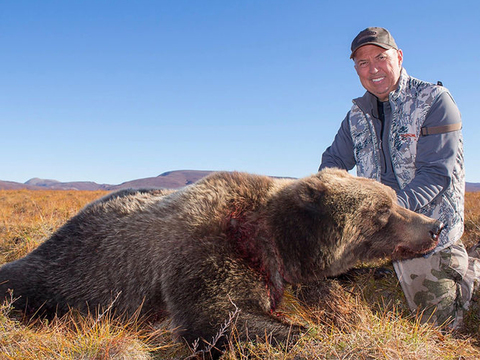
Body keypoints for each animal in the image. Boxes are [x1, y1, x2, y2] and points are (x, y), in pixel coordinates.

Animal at [0, 169, 442, 358]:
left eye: (392, 200)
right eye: (383, 211)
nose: (434, 226)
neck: (268, 238)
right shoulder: (203, 253)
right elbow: (215, 317)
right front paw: (310, 335)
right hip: (68, 271)